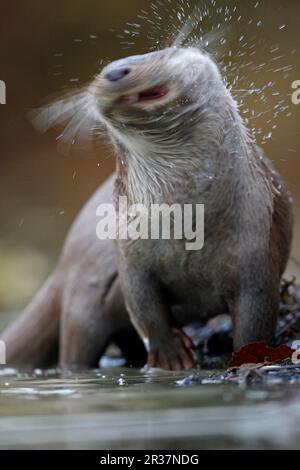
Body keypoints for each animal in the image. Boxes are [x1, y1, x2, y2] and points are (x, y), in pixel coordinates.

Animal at [0, 47, 292, 370]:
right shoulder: (130, 254)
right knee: (77, 349)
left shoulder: (258, 258)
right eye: (104, 70)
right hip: (83, 299)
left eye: (160, 54)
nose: (114, 72)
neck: (187, 228)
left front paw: (249, 359)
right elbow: (145, 307)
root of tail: (62, 264)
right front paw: (170, 357)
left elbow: (254, 327)